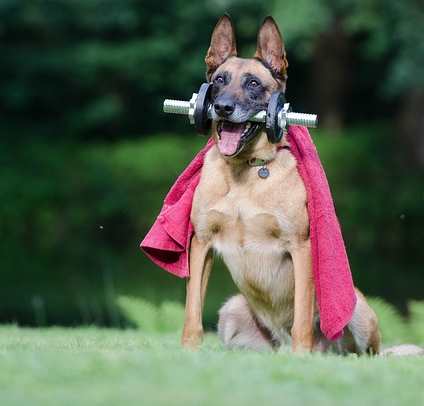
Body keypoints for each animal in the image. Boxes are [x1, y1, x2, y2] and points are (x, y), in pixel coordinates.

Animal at [181, 14, 380, 354]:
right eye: (219, 80)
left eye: (253, 83)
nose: (222, 107)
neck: (245, 172)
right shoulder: (201, 243)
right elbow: (192, 312)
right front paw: (187, 352)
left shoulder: (300, 247)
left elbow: (302, 316)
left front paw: (302, 357)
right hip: (231, 310)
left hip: (357, 311)